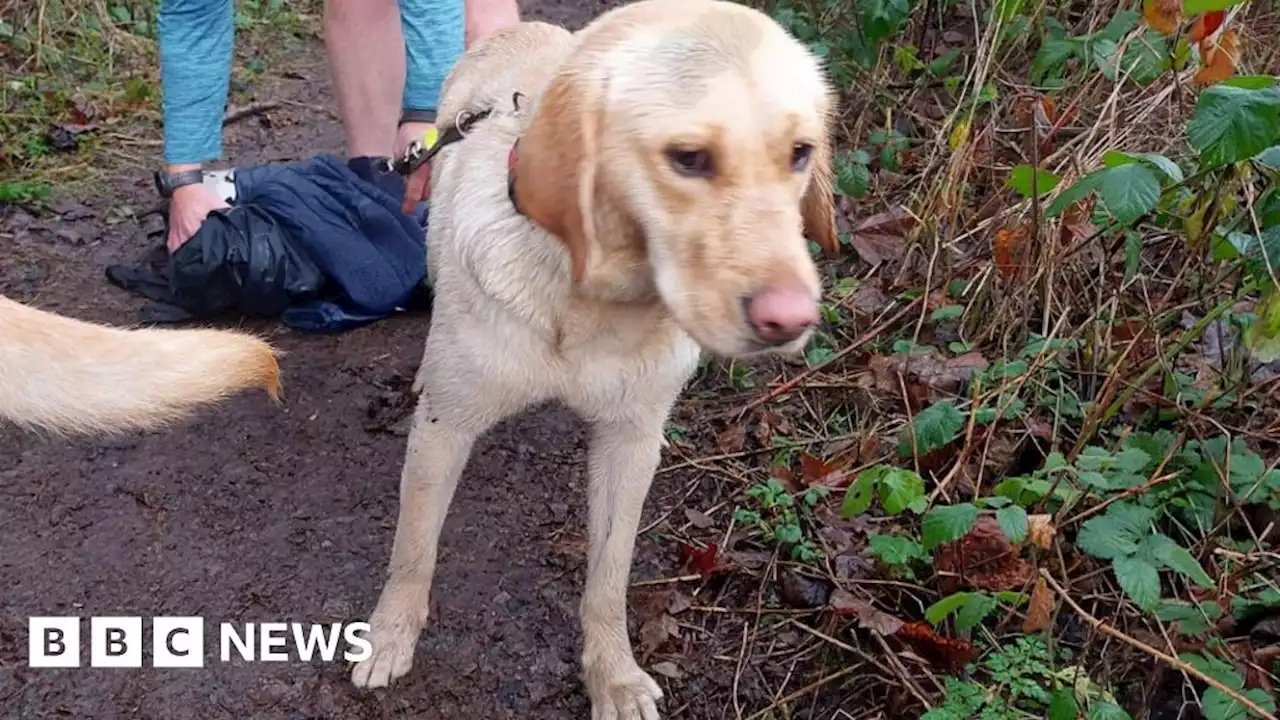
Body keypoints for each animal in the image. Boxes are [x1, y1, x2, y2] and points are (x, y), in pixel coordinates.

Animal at [353, 2, 839, 712]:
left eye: (800, 153)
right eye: (688, 158)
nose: (792, 319)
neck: (587, 299)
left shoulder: (632, 442)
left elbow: (609, 575)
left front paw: (613, 673)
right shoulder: (445, 430)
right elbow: (412, 551)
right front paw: (390, 636)